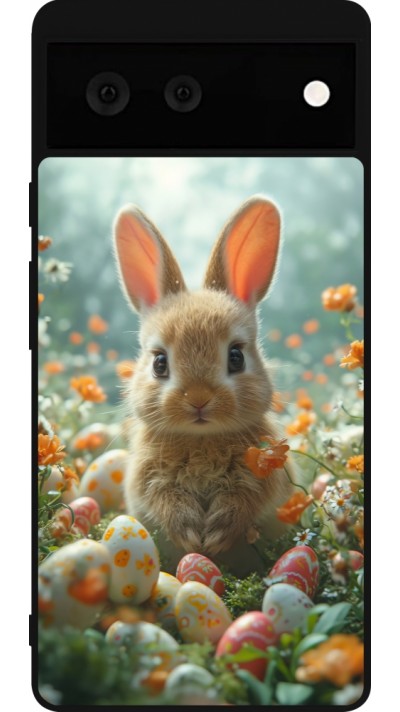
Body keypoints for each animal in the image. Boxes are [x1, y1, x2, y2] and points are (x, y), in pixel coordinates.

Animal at [113, 195, 294, 570]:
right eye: (159, 363)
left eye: (236, 357)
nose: (198, 399)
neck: (201, 438)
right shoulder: (147, 479)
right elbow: (164, 500)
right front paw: (191, 534)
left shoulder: (263, 475)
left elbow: (244, 500)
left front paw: (217, 535)